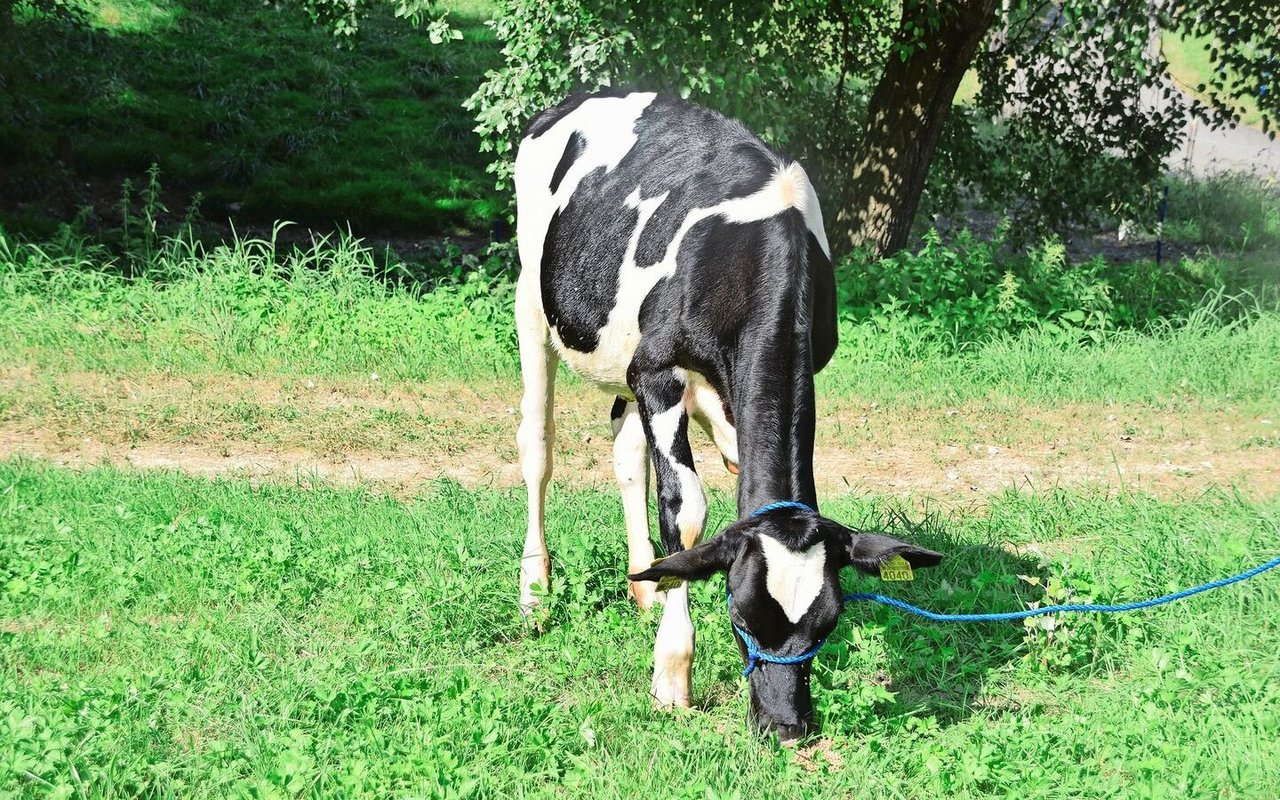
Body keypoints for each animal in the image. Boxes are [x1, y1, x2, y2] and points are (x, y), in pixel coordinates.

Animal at [509, 90, 942, 737]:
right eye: (740, 618)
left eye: (829, 622)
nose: (786, 725)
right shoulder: (658, 370)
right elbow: (685, 512)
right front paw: (672, 673)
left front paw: (663, 585)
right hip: (533, 307)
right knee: (537, 446)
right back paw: (535, 591)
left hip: (629, 361)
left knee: (627, 454)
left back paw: (645, 582)